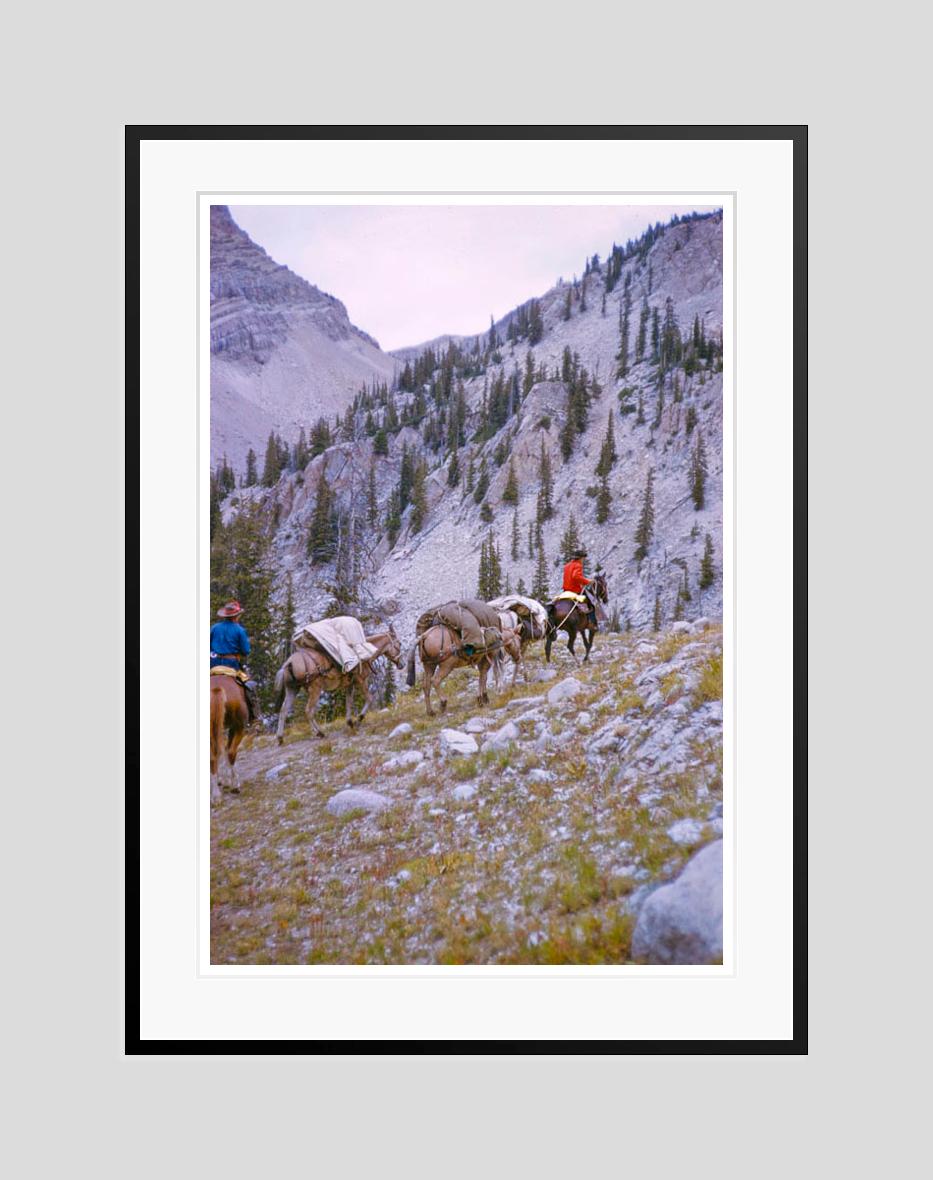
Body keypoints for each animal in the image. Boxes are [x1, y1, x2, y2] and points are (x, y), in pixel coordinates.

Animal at [209, 674, 250, 802]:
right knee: (231, 752)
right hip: (239, 727)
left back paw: (216, 795)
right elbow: (228, 751)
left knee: (213, 757)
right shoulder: (232, 728)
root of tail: (216, 688)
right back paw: (235, 785)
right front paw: (228, 781)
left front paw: (222, 780)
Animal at [270, 623, 401, 741]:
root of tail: (289, 663)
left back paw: (280, 738)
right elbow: (369, 698)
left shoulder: (350, 684)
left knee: (284, 710)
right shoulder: (361, 680)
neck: (365, 651)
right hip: (315, 689)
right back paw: (319, 733)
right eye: (399, 643)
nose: (402, 664)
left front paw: (350, 722)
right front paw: (358, 720)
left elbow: (348, 702)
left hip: (292, 688)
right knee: (308, 711)